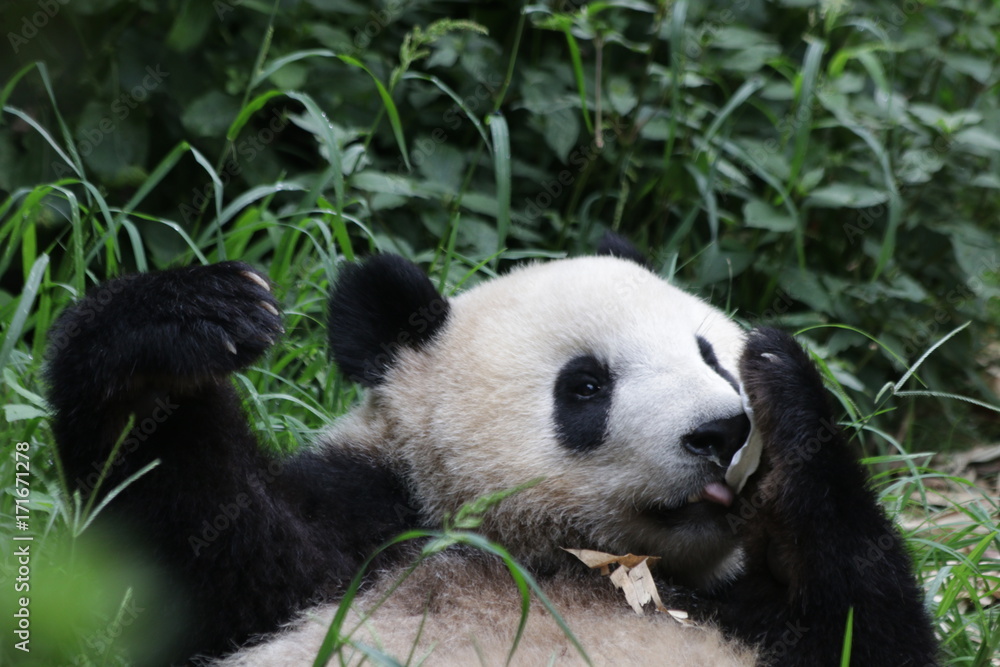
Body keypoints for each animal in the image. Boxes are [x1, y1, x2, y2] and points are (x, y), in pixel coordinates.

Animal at [46, 237, 938, 666]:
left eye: (711, 355)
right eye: (585, 386)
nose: (722, 431)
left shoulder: (742, 612)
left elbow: (868, 637)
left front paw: (789, 397)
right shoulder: (369, 529)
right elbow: (203, 555)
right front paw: (174, 333)